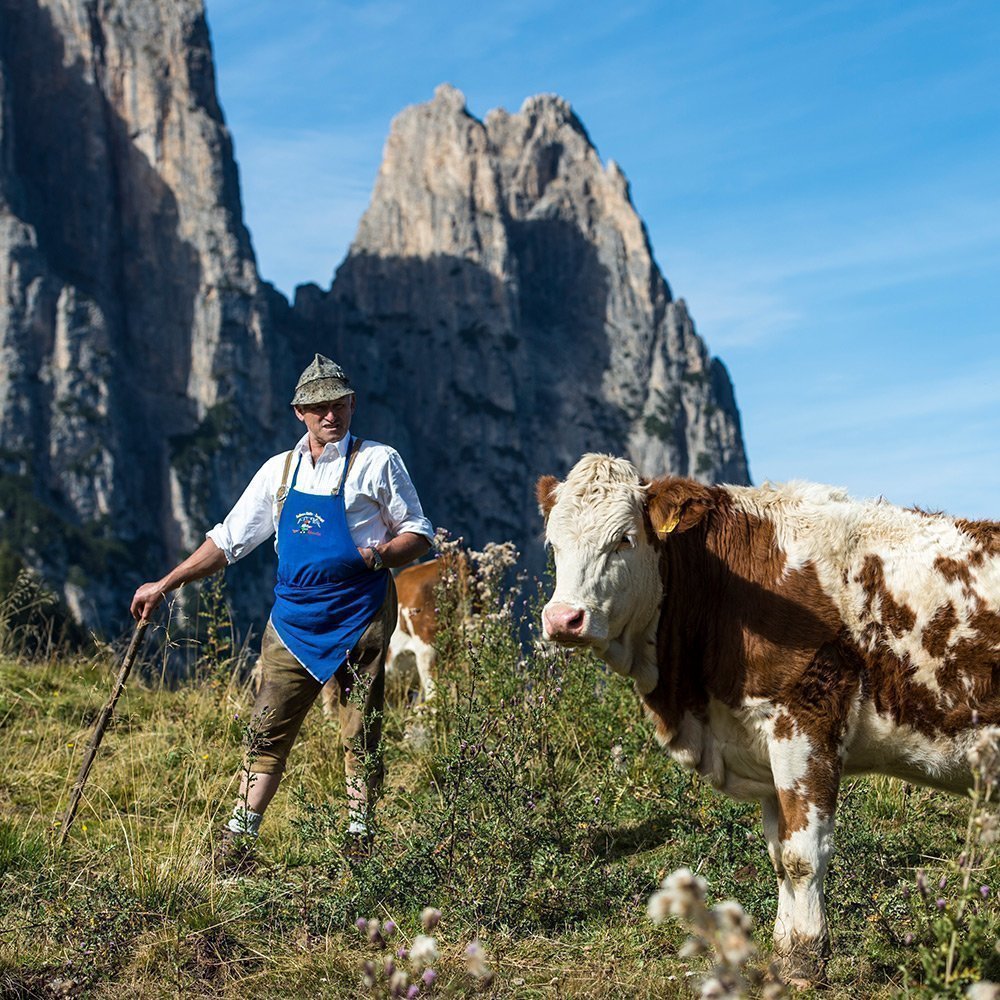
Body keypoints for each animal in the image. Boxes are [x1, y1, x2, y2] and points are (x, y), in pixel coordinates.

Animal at [540, 456, 1000, 984]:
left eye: (623, 539)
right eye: (553, 544)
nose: (563, 619)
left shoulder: (804, 721)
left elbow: (803, 855)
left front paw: (805, 957)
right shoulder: (759, 740)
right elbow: (778, 854)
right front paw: (784, 949)